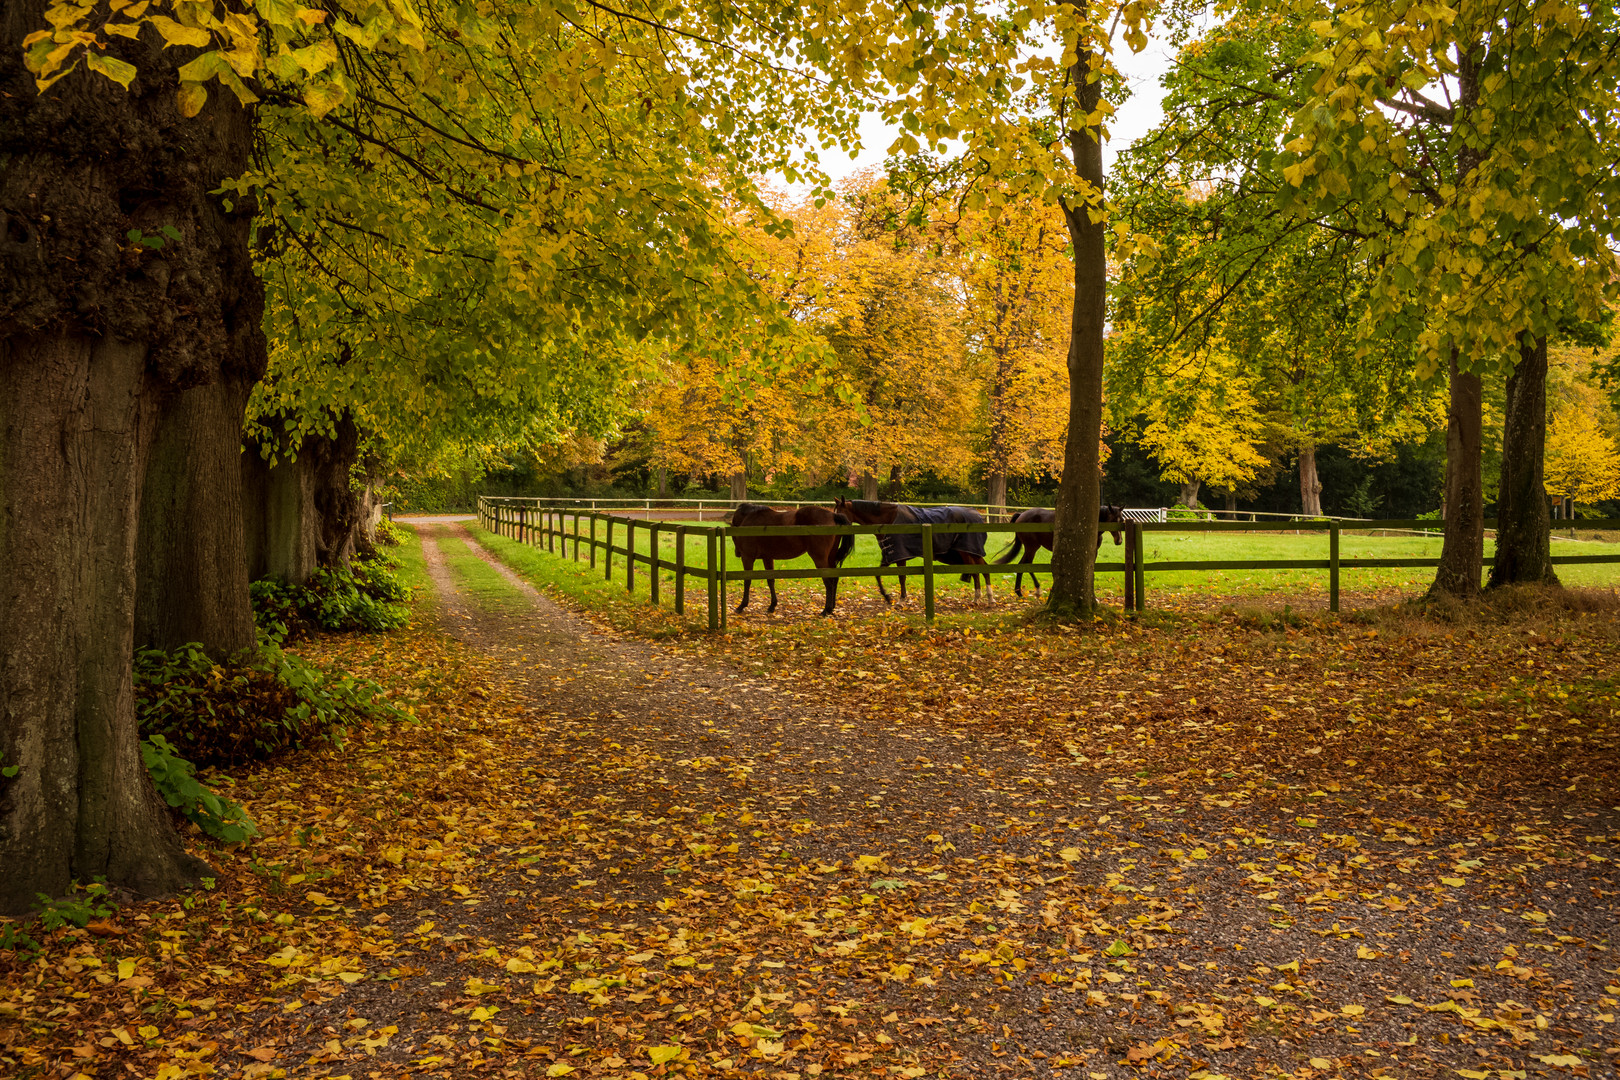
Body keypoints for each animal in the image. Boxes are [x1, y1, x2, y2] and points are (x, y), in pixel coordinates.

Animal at [732, 505, 861, 615]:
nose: (737, 553)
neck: (749, 518)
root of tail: (833, 515)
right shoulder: (767, 557)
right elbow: (770, 581)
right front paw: (772, 605)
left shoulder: (747, 557)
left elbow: (747, 581)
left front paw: (742, 606)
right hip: (830, 557)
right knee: (834, 579)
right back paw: (831, 608)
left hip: (820, 558)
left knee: (828, 581)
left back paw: (826, 610)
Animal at [842, 495, 991, 605]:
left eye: (840, 512)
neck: (888, 519)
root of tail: (977, 515)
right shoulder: (890, 556)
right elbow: (878, 575)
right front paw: (887, 597)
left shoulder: (900, 556)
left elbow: (901, 578)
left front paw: (901, 600)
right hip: (969, 553)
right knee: (980, 570)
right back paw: (984, 598)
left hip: (968, 551)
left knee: (980, 571)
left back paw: (983, 598)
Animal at [984, 508, 1127, 599]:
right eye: (1113, 519)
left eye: (1122, 520)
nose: (1119, 540)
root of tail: (1021, 515)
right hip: (1032, 547)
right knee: (1027, 565)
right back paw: (1036, 589)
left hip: (1030, 548)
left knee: (1021, 565)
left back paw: (1019, 592)